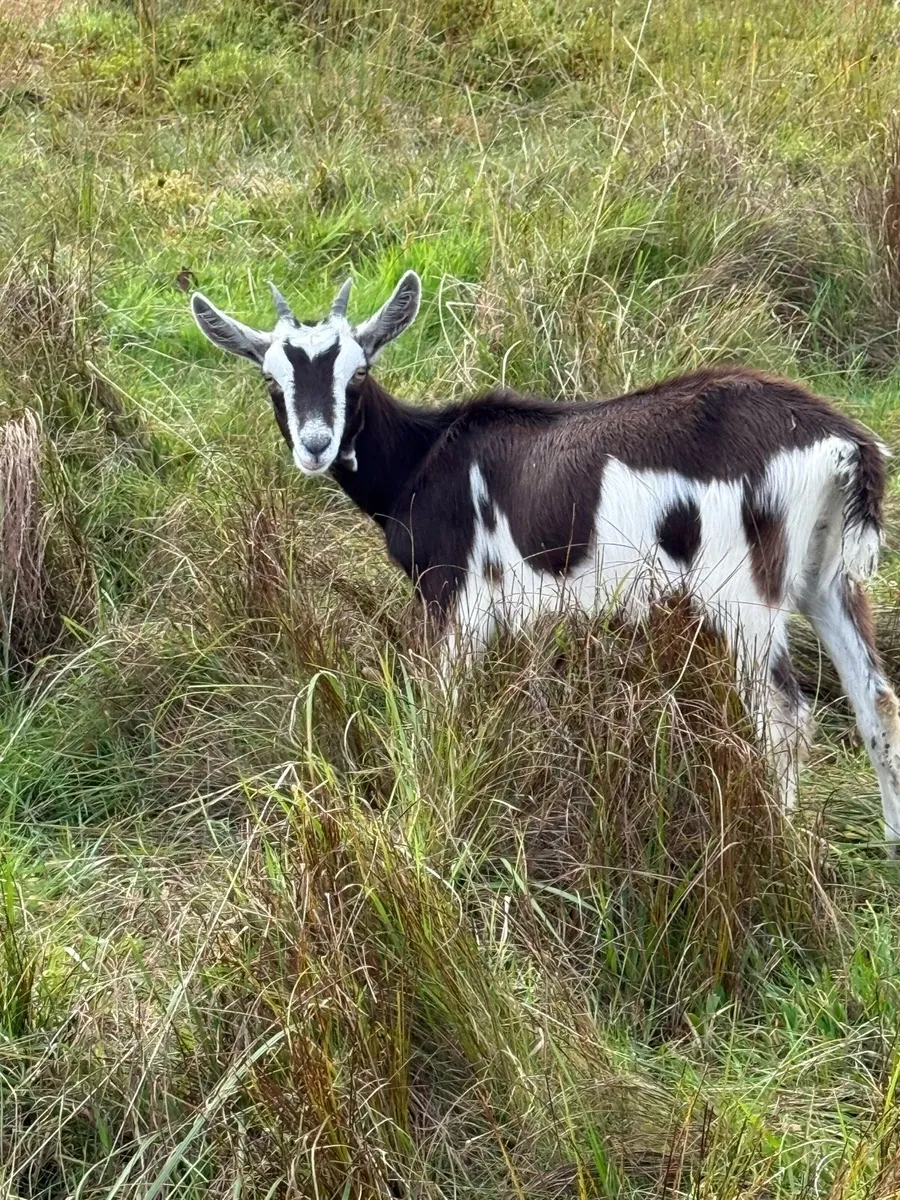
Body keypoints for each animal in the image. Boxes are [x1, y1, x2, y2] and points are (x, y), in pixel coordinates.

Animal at [191, 272, 900, 847]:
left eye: (357, 372)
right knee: (878, 701)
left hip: (743, 591)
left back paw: (781, 846)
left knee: (784, 716)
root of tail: (843, 442)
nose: (315, 445)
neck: (425, 459)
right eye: (271, 379)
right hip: (828, 580)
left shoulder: (458, 600)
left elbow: (440, 710)